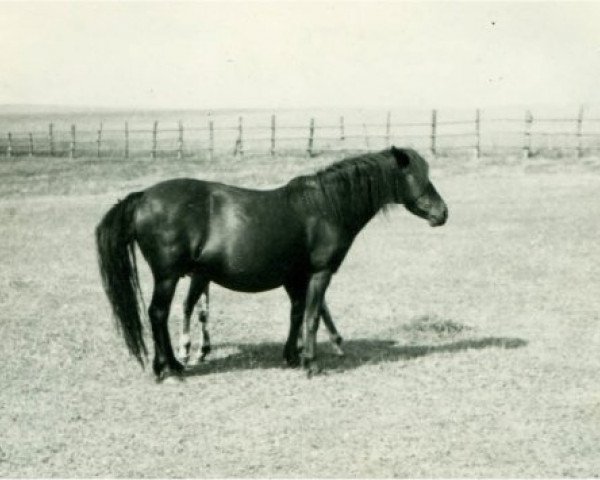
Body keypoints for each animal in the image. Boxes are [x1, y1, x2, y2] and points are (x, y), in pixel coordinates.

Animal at [96, 146, 448, 378]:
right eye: (417, 175)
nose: (442, 212)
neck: (325, 207)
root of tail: (143, 197)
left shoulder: (295, 278)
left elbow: (298, 314)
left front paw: (293, 356)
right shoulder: (319, 273)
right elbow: (312, 316)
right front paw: (311, 363)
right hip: (168, 276)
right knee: (158, 314)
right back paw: (170, 367)